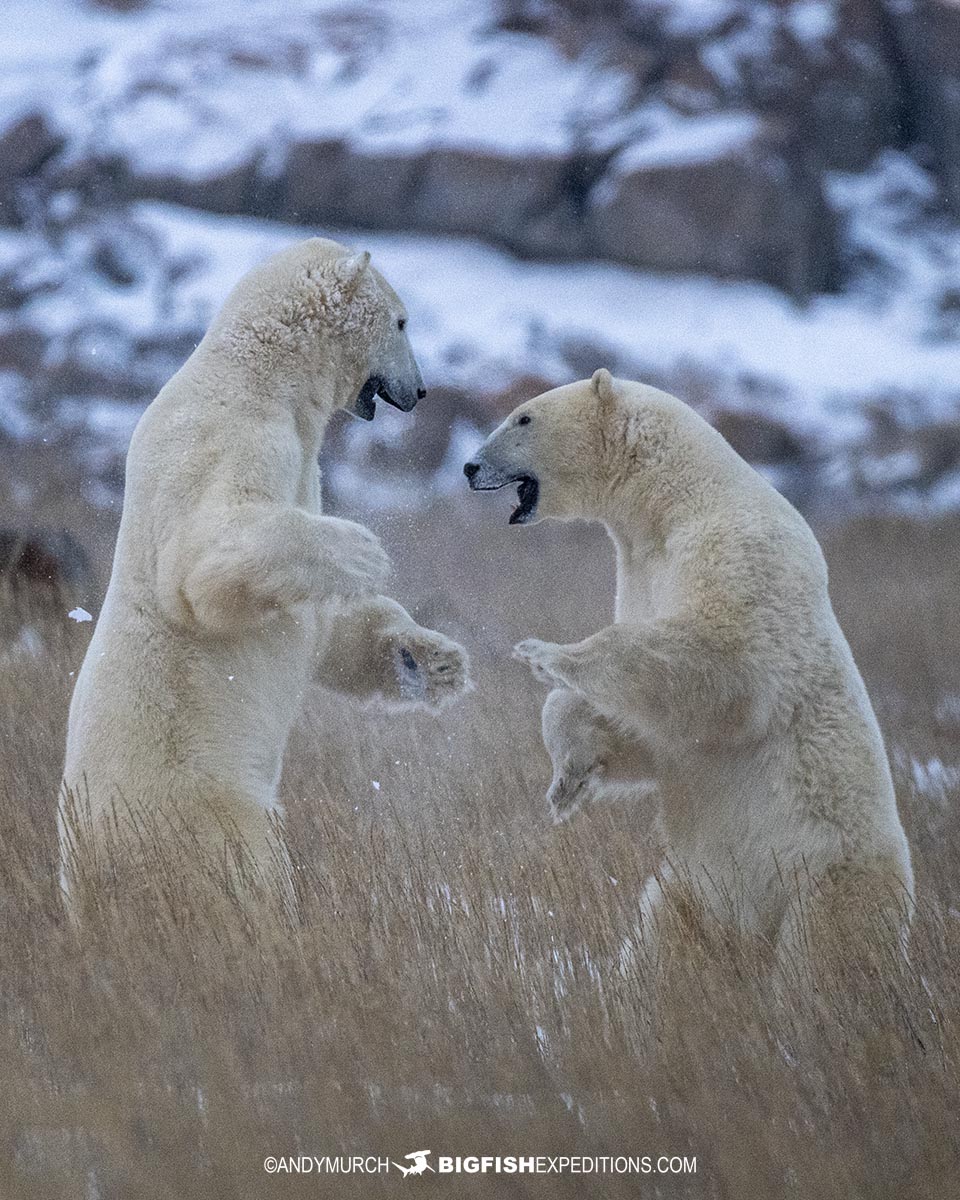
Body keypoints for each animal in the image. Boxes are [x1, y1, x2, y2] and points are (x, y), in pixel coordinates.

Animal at [58, 241, 470, 916]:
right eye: (403, 322)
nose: (422, 389)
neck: (261, 374)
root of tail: (87, 867)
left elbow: (328, 627)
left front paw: (433, 662)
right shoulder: (231, 434)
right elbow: (202, 562)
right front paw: (362, 550)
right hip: (198, 803)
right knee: (247, 870)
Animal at [465, 369, 916, 969]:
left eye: (523, 417)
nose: (470, 467)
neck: (674, 499)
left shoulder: (737, 549)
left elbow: (719, 667)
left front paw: (546, 655)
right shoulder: (639, 569)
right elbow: (657, 728)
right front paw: (567, 781)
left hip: (825, 879)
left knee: (820, 960)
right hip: (695, 889)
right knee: (660, 946)